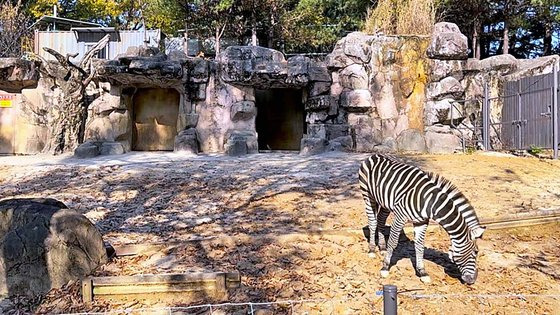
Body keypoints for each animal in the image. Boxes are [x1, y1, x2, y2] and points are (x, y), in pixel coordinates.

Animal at [358, 154, 486, 286]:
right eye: (476, 252)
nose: (472, 281)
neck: (430, 203)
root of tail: (375, 155)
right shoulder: (400, 216)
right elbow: (393, 241)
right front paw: (385, 267)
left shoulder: (421, 221)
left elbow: (419, 246)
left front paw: (422, 272)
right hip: (368, 195)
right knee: (373, 222)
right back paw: (372, 250)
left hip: (384, 202)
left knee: (381, 220)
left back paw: (382, 247)